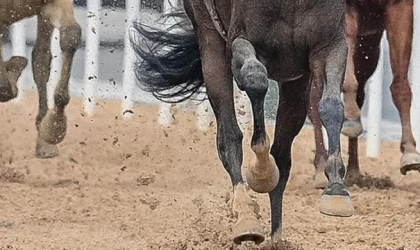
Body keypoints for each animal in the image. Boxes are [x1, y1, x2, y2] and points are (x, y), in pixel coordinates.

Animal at [130, 0, 352, 245]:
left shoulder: (329, 45)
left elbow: (331, 105)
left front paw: (336, 189)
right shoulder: (240, 42)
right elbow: (255, 79)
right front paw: (262, 172)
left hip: (295, 83)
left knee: (282, 156)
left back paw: (276, 239)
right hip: (210, 45)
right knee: (229, 139)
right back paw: (246, 219)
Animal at [306, 0, 418, 188]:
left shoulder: (400, 7)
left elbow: (401, 86)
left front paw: (410, 151)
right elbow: (347, 80)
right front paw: (350, 117)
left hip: (368, 47)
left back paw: (353, 172)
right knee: (314, 98)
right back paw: (321, 167)